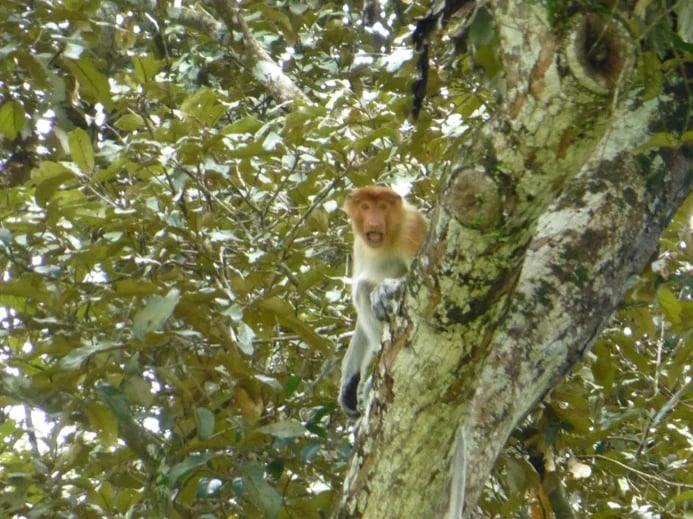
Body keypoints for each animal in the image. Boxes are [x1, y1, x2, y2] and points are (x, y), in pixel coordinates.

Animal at [339, 185, 427, 417]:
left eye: (382, 207)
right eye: (365, 207)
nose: (374, 223)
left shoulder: (411, 228)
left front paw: (385, 289)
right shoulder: (359, 246)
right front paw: (348, 385)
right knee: (361, 289)